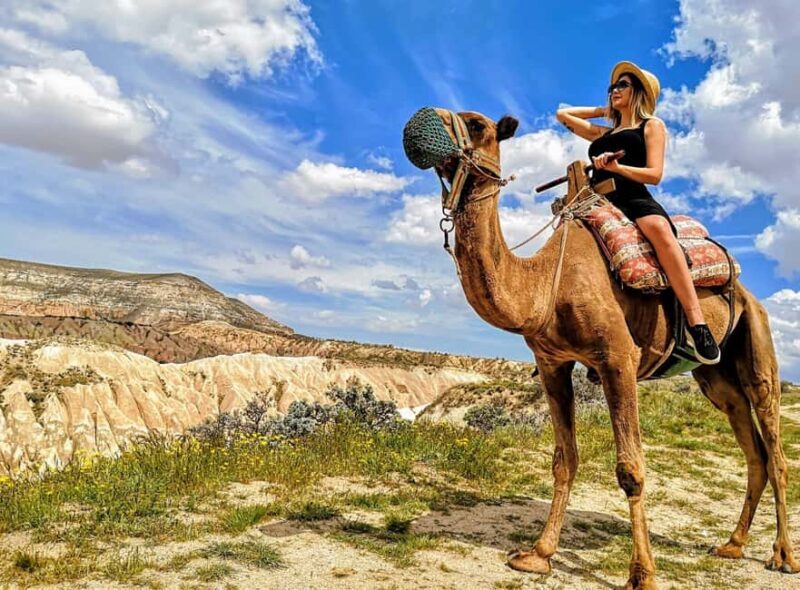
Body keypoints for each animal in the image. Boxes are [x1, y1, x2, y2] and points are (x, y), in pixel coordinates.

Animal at [412, 108, 797, 589]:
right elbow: (564, 459)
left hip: (757, 338)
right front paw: (538, 554)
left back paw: (783, 555)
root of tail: (743, 286)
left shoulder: (618, 359)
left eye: (477, 124)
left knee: (775, 446)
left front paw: (642, 574)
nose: (417, 123)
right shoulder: (553, 363)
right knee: (753, 448)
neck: (546, 284)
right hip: (715, 378)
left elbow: (631, 470)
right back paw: (732, 544)